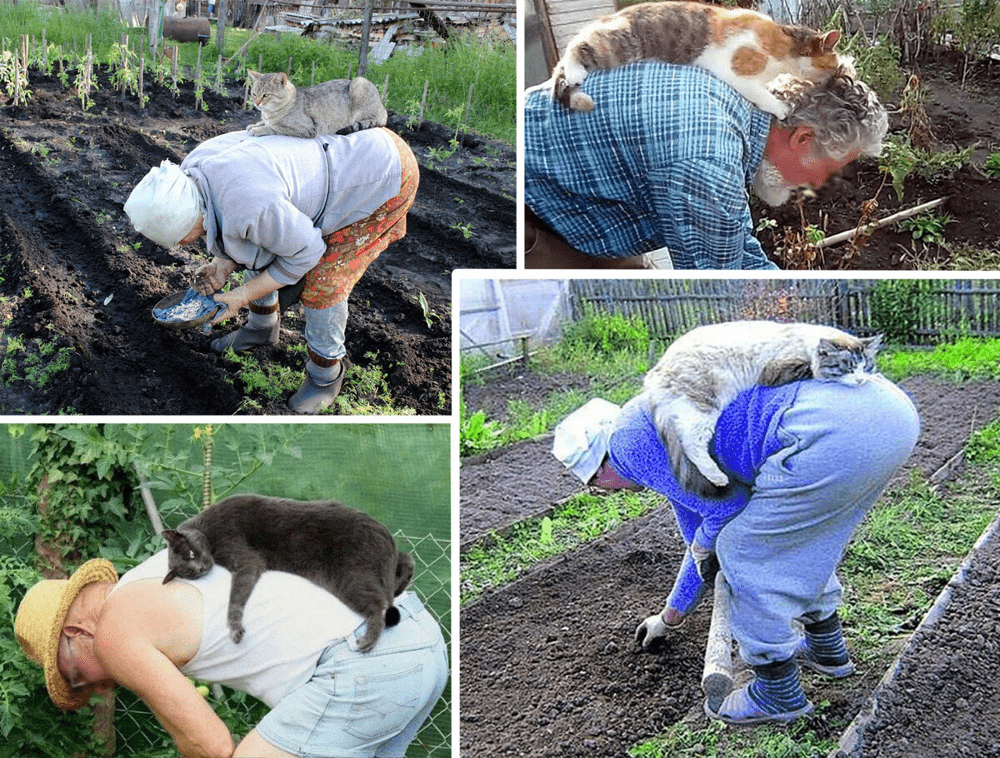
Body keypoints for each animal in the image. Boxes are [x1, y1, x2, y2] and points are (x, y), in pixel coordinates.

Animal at [164, 492, 414, 652]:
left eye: (191, 554)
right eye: (189, 573)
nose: (201, 568)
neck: (207, 530)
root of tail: (385, 536)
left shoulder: (245, 558)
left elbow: (234, 598)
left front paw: (234, 629)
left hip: (351, 578)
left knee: (378, 606)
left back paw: (367, 641)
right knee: (406, 562)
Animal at [248, 70, 388, 139]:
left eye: (266, 95)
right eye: (254, 94)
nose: (256, 104)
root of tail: (384, 109)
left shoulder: (307, 128)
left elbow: (275, 127)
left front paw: (258, 129)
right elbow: (264, 122)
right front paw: (255, 125)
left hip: (359, 82)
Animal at [552, 1, 848, 119]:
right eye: (833, 65)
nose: (836, 77)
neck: (785, 44)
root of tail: (606, 18)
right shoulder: (736, 69)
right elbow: (760, 94)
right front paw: (780, 107)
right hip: (619, 45)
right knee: (575, 46)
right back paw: (575, 71)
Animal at [640, 320, 884, 498]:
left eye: (866, 366)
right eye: (848, 367)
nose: (861, 379)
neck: (808, 342)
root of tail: (654, 373)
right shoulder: (778, 369)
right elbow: (813, 372)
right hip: (702, 408)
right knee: (691, 444)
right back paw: (718, 478)